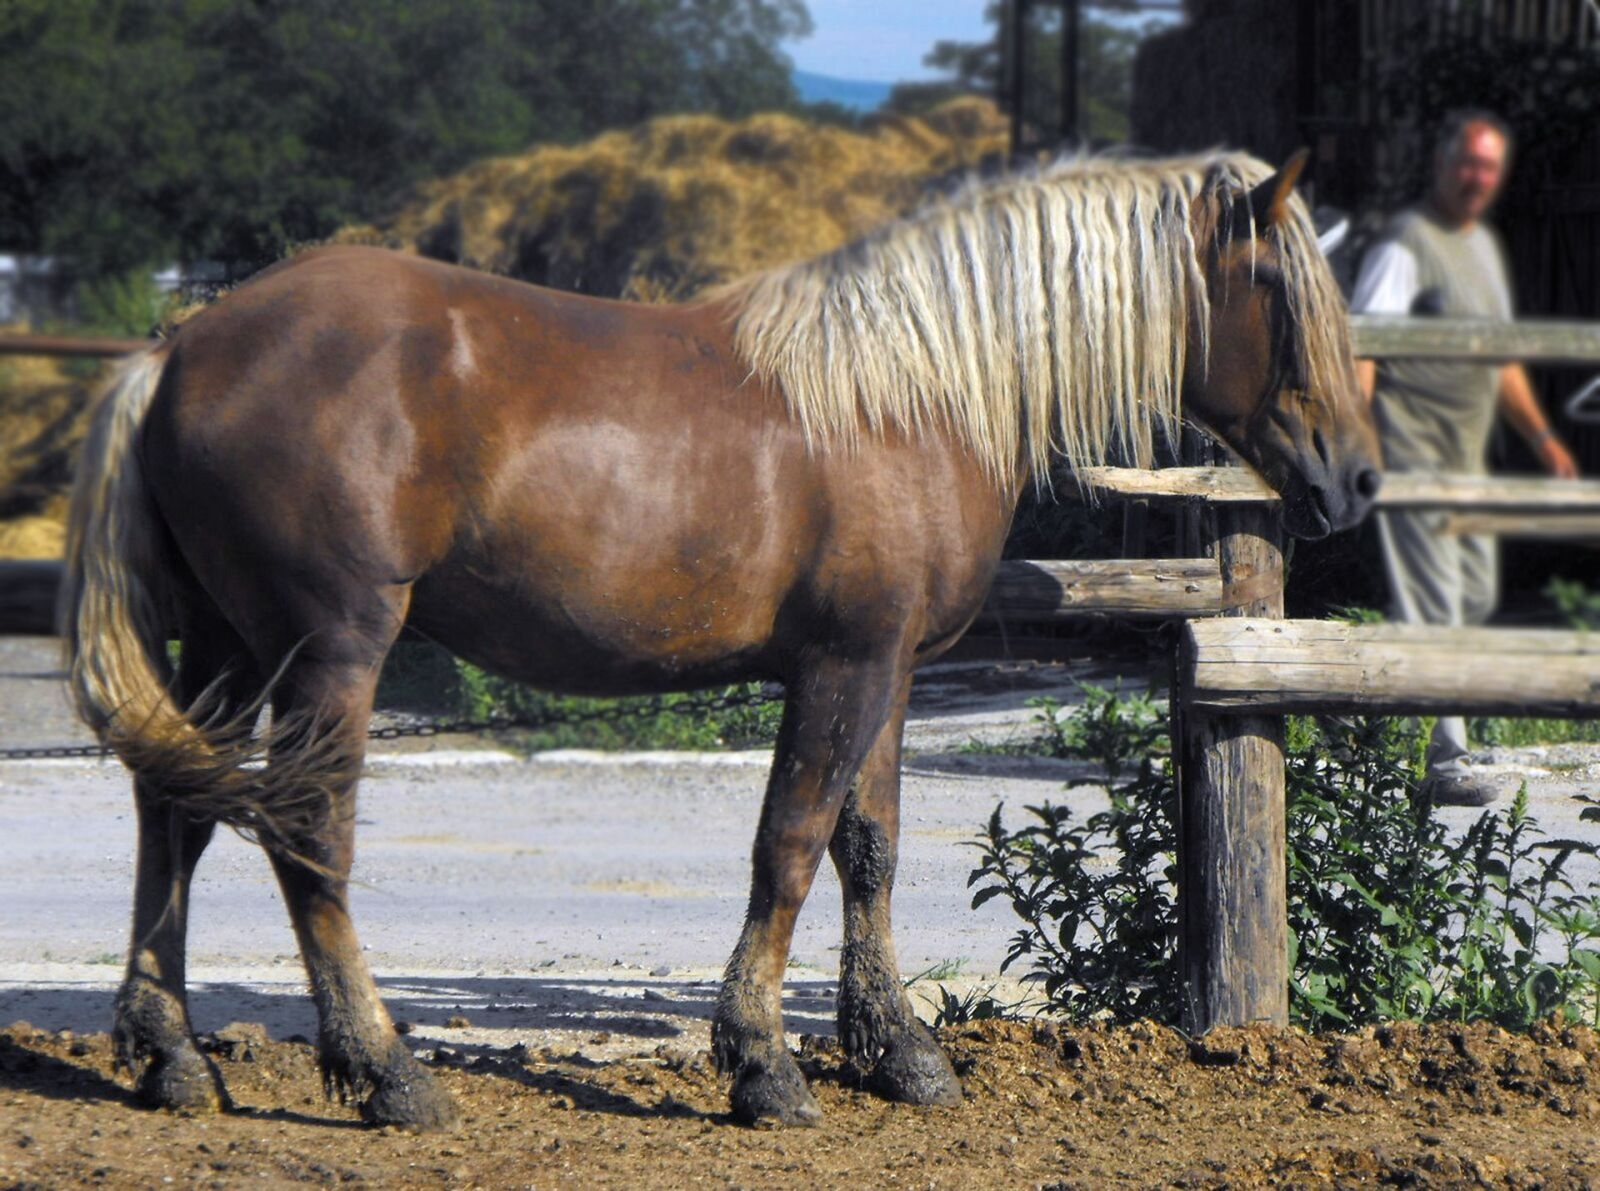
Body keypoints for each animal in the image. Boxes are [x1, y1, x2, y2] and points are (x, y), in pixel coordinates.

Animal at [62, 153, 1382, 1133]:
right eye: (1280, 288)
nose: (1354, 481)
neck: (910, 393)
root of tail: (179, 349)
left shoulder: (890, 669)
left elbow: (867, 848)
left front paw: (897, 1054)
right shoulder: (841, 668)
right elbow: (788, 847)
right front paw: (763, 1065)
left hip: (232, 647)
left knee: (175, 816)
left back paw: (171, 1059)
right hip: (331, 650)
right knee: (306, 830)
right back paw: (384, 1073)